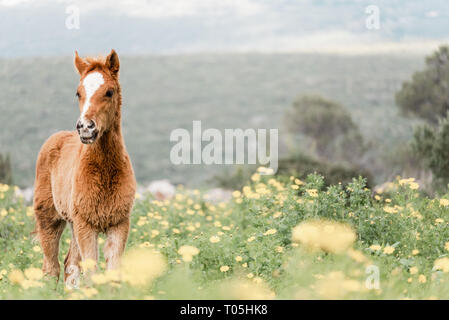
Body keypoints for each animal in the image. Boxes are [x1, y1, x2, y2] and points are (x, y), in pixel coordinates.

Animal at [33, 50, 136, 288]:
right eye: (78, 93)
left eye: (109, 92)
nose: (85, 128)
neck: (105, 173)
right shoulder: (87, 226)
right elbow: (91, 273)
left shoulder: (119, 224)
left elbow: (112, 273)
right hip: (50, 219)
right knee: (51, 266)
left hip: (73, 223)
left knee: (70, 265)